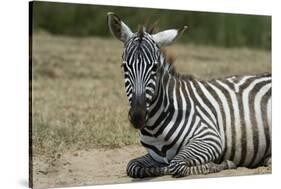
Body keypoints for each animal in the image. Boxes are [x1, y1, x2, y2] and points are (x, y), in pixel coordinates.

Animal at [106, 12, 270, 178]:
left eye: (155, 67)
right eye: (124, 66)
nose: (137, 117)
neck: (155, 129)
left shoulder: (210, 138)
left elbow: (175, 165)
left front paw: (220, 164)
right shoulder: (154, 156)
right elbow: (133, 166)